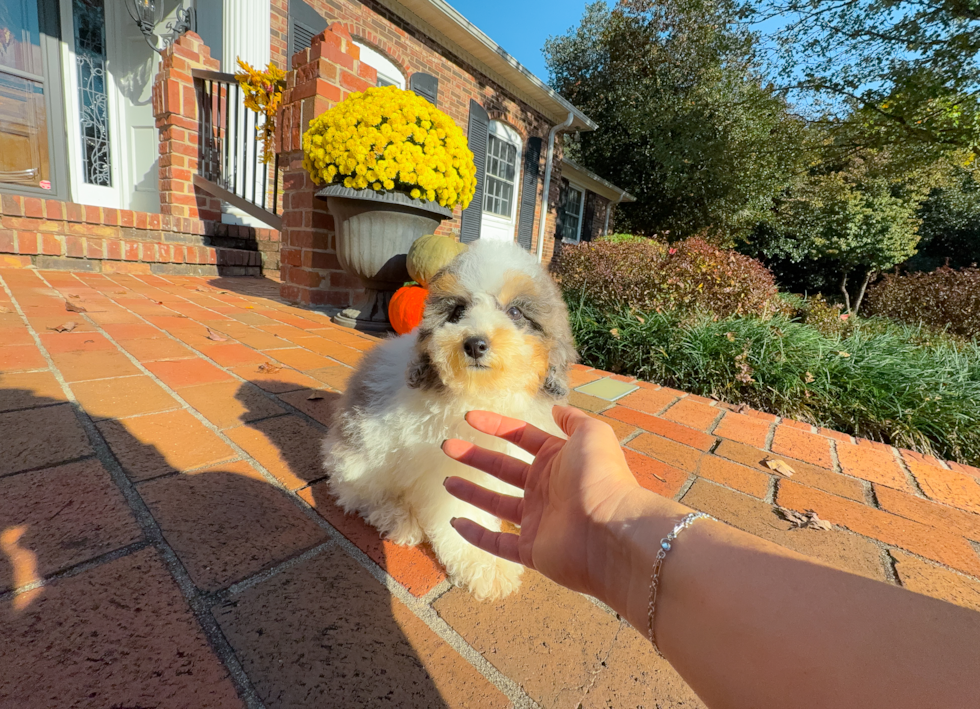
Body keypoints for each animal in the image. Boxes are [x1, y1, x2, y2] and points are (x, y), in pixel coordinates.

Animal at [326, 238, 580, 596]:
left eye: (515, 312)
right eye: (458, 311)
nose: (474, 344)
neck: (484, 394)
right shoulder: (452, 469)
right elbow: (465, 514)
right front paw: (487, 566)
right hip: (361, 458)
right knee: (357, 495)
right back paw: (400, 519)